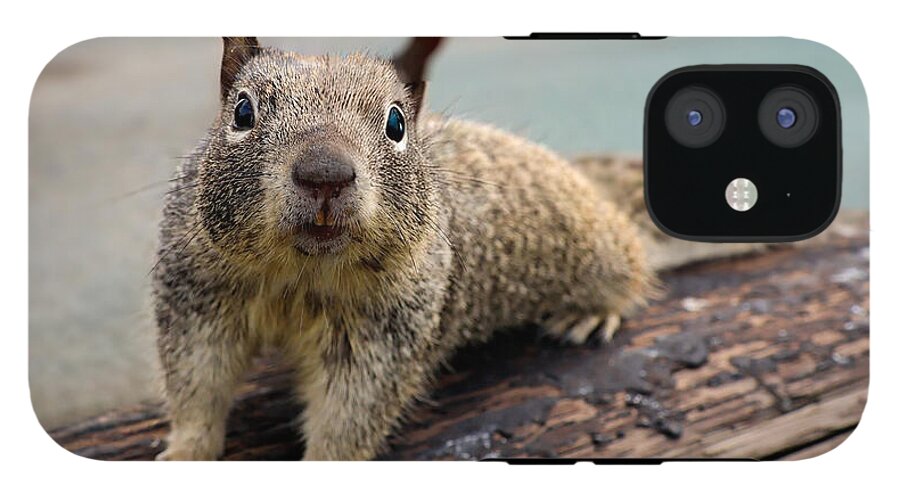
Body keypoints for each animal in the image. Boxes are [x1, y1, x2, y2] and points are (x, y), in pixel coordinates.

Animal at [153, 37, 743, 461]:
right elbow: (197, 386)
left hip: (599, 250)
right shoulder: (197, 298)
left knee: (631, 265)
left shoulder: (384, 334)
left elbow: (350, 415)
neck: (302, 273)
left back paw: (592, 312)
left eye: (396, 123)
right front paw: (184, 453)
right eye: (242, 112)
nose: (325, 174)